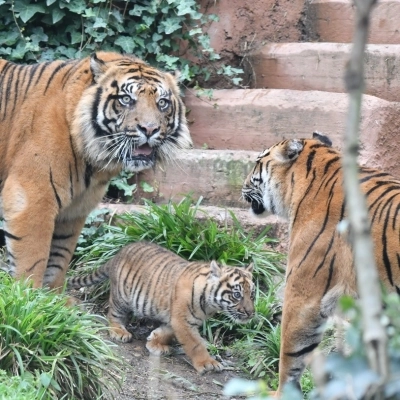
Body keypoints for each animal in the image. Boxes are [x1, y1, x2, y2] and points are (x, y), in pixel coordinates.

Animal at [0, 52, 192, 290]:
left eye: (162, 103)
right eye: (126, 99)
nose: (149, 129)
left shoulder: (76, 208)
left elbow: (59, 255)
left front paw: (53, 296)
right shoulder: (32, 194)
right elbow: (32, 257)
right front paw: (28, 294)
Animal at [67, 241, 255, 376]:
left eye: (252, 294)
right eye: (237, 295)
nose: (251, 313)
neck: (210, 304)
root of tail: (118, 253)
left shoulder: (175, 319)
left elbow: (167, 332)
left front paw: (154, 342)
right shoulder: (182, 321)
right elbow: (196, 344)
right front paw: (208, 363)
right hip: (122, 297)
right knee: (113, 313)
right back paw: (118, 331)